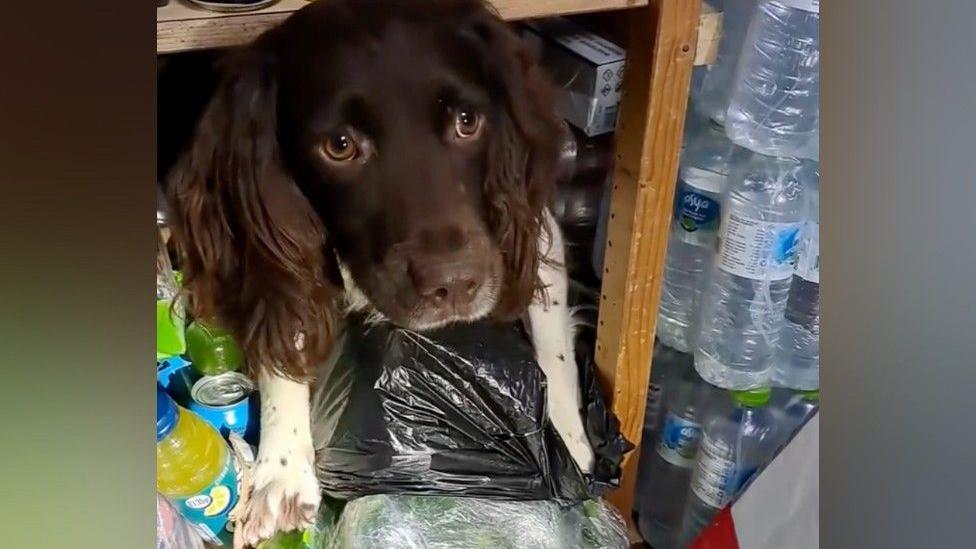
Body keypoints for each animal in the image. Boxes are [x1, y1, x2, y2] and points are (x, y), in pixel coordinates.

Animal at [167, 1, 592, 544]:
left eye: (468, 121)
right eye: (340, 145)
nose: (454, 284)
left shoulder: (533, 232)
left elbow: (553, 345)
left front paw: (567, 438)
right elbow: (283, 347)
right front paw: (281, 471)